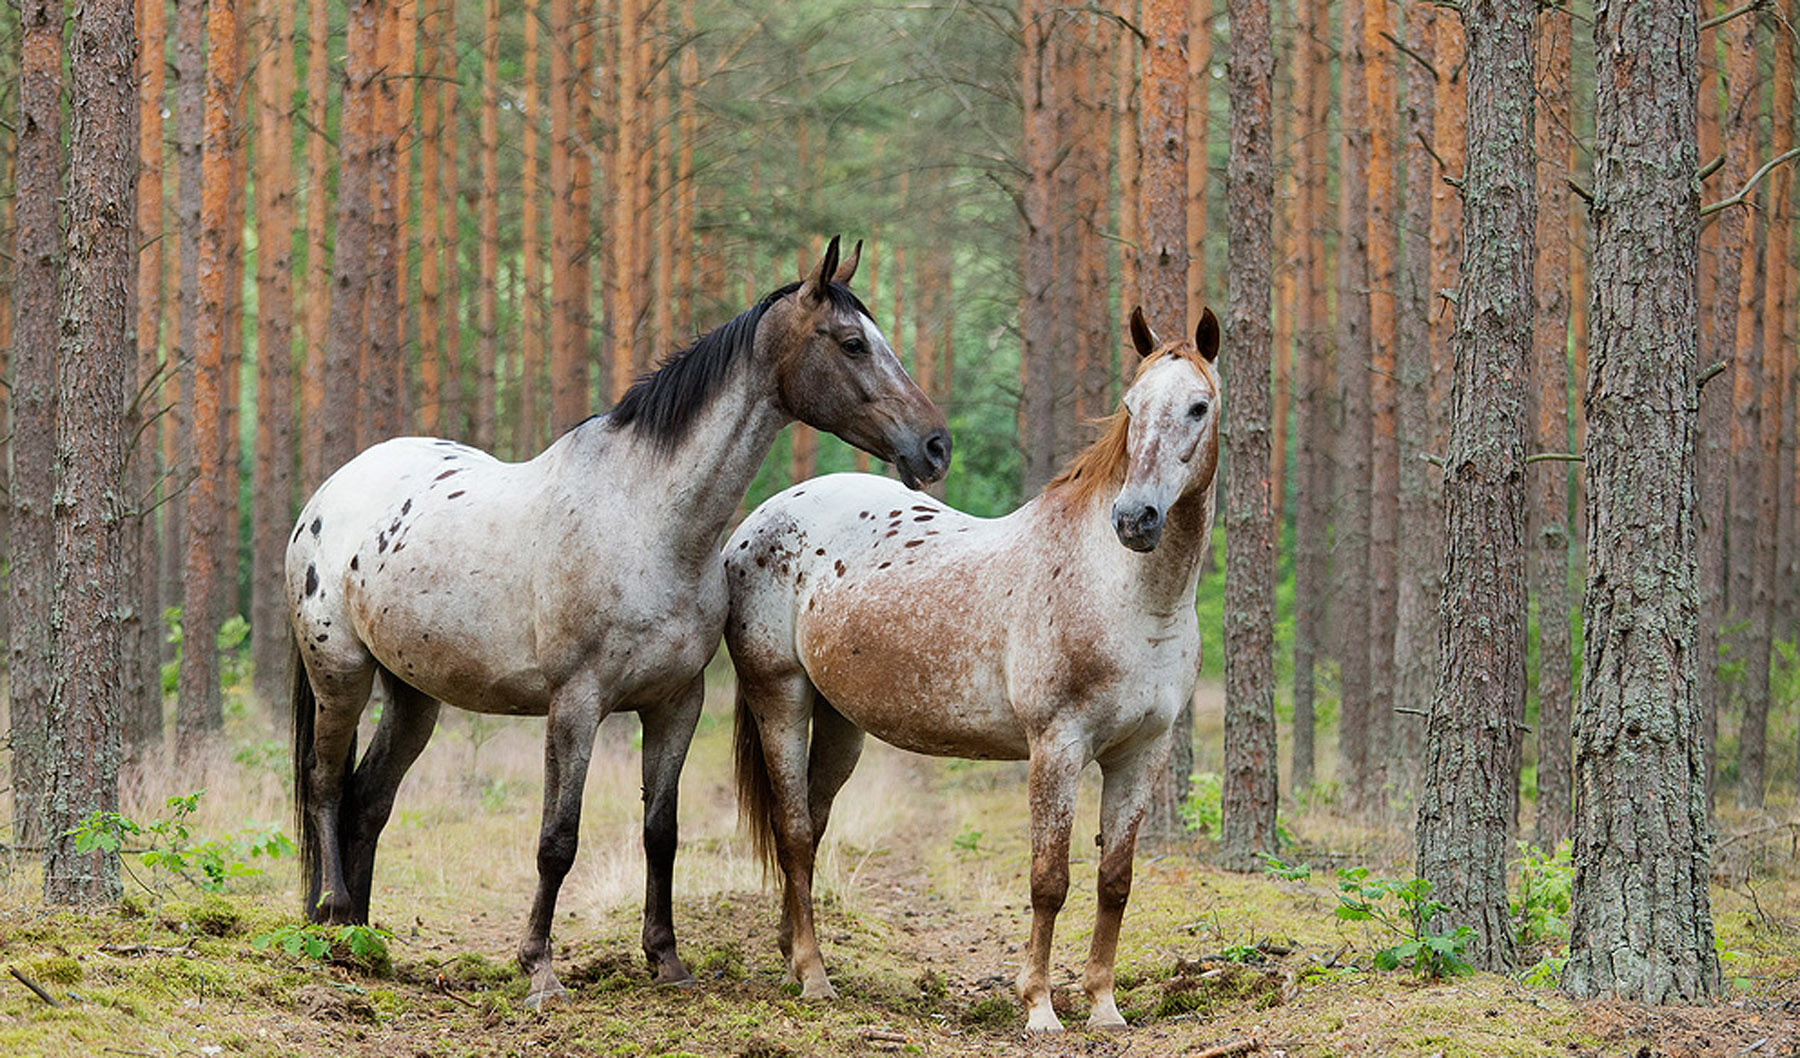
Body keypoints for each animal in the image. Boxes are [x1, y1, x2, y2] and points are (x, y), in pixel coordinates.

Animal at [288, 237, 950, 1007]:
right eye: (851, 343)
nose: (936, 446)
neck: (647, 520)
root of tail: (330, 493)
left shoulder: (675, 703)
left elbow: (660, 831)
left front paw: (666, 960)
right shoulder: (576, 704)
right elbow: (558, 838)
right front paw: (539, 970)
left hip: (414, 695)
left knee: (369, 798)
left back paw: (362, 940)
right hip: (340, 674)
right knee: (325, 783)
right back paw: (333, 918)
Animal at [727, 305, 1224, 1036]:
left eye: (1197, 406)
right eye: (1131, 407)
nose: (1136, 518)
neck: (1125, 594)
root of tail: (759, 520)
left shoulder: (1143, 753)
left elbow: (1115, 881)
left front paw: (1104, 1006)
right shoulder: (1057, 747)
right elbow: (1049, 881)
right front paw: (1040, 1008)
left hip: (840, 720)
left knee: (811, 830)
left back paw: (793, 952)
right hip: (780, 698)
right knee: (791, 832)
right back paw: (814, 976)